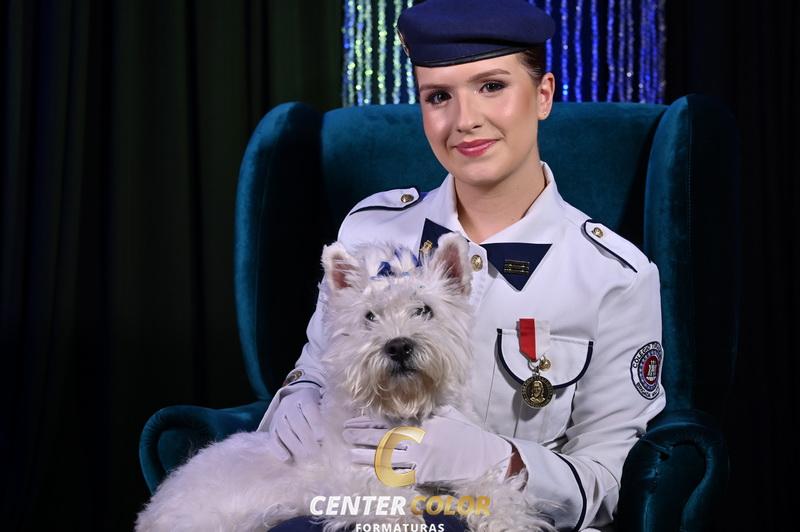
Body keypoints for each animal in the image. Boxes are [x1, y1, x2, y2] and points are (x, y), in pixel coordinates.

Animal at [135, 233, 554, 532]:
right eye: (369, 316)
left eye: (423, 310)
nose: (398, 346)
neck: (401, 409)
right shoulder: (348, 482)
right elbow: (380, 497)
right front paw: (405, 519)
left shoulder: (460, 462)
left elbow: (493, 486)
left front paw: (510, 521)